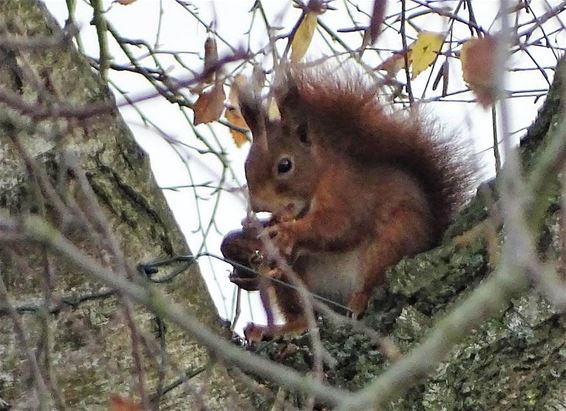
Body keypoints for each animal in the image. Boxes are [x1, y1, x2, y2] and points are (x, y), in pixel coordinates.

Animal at [222, 67, 474, 342]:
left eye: (285, 165)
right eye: (247, 165)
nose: (257, 206)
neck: (319, 179)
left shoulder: (349, 192)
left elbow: (340, 225)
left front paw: (289, 232)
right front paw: (245, 242)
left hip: (394, 240)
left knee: (374, 275)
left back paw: (359, 300)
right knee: (303, 313)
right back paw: (276, 328)